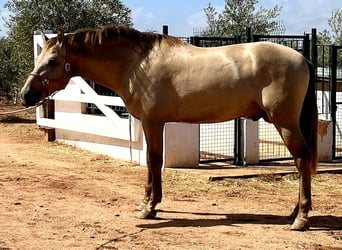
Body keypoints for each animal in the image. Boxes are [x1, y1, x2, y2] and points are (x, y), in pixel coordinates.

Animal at [20, 25, 318, 230]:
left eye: (52, 61)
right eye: (38, 59)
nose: (25, 95)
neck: (136, 64)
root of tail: (302, 58)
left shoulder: (152, 122)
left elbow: (153, 160)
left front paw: (149, 208)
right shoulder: (152, 123)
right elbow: (152, 161)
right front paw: (148, 204)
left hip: (285, 123)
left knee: (302, 160)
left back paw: (301, 218)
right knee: (300, 163)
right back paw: (294, 213)